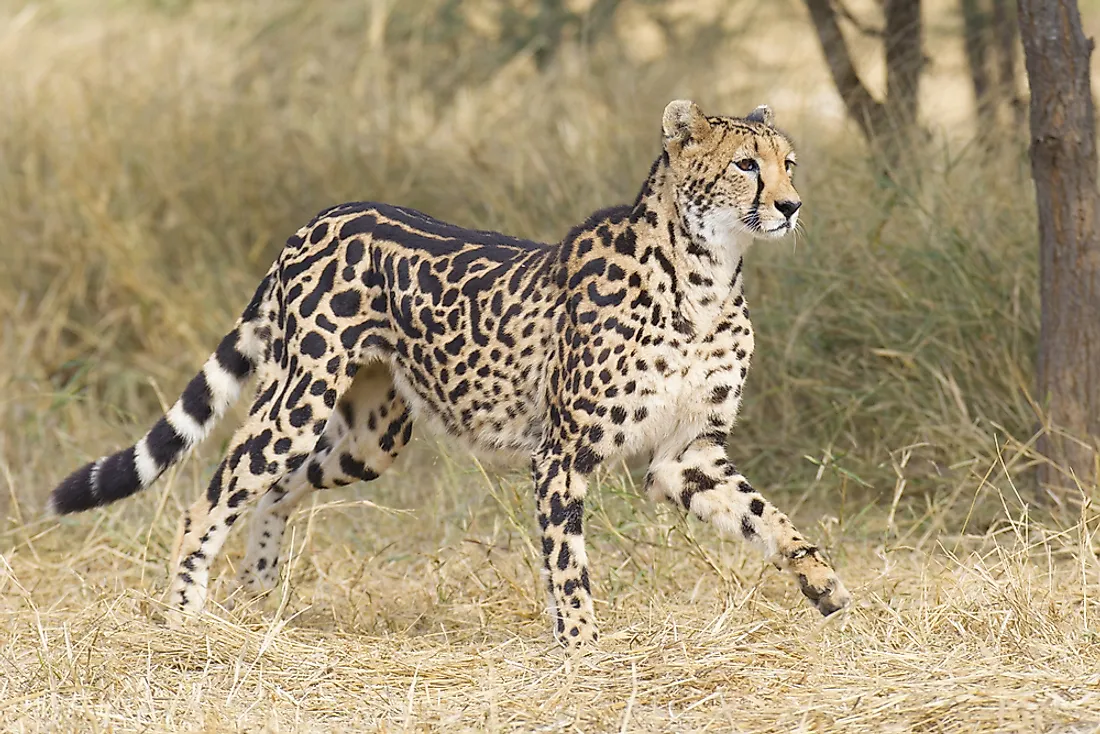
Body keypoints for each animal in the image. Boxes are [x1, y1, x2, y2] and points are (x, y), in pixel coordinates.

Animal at [51, 99, 853, 647]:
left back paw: (260, 595)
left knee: (278, 488)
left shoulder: (687, 454)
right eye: (746, 165)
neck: (706, 275)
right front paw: (585, 654)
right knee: (211, 497)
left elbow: (771, 518)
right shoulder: (562, 456)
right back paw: (186, 621)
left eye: (789, 163)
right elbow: (569, 568)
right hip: (298, 399)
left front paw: (824, 585)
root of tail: (321, 216)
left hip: (373, 439)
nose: (791, 205)